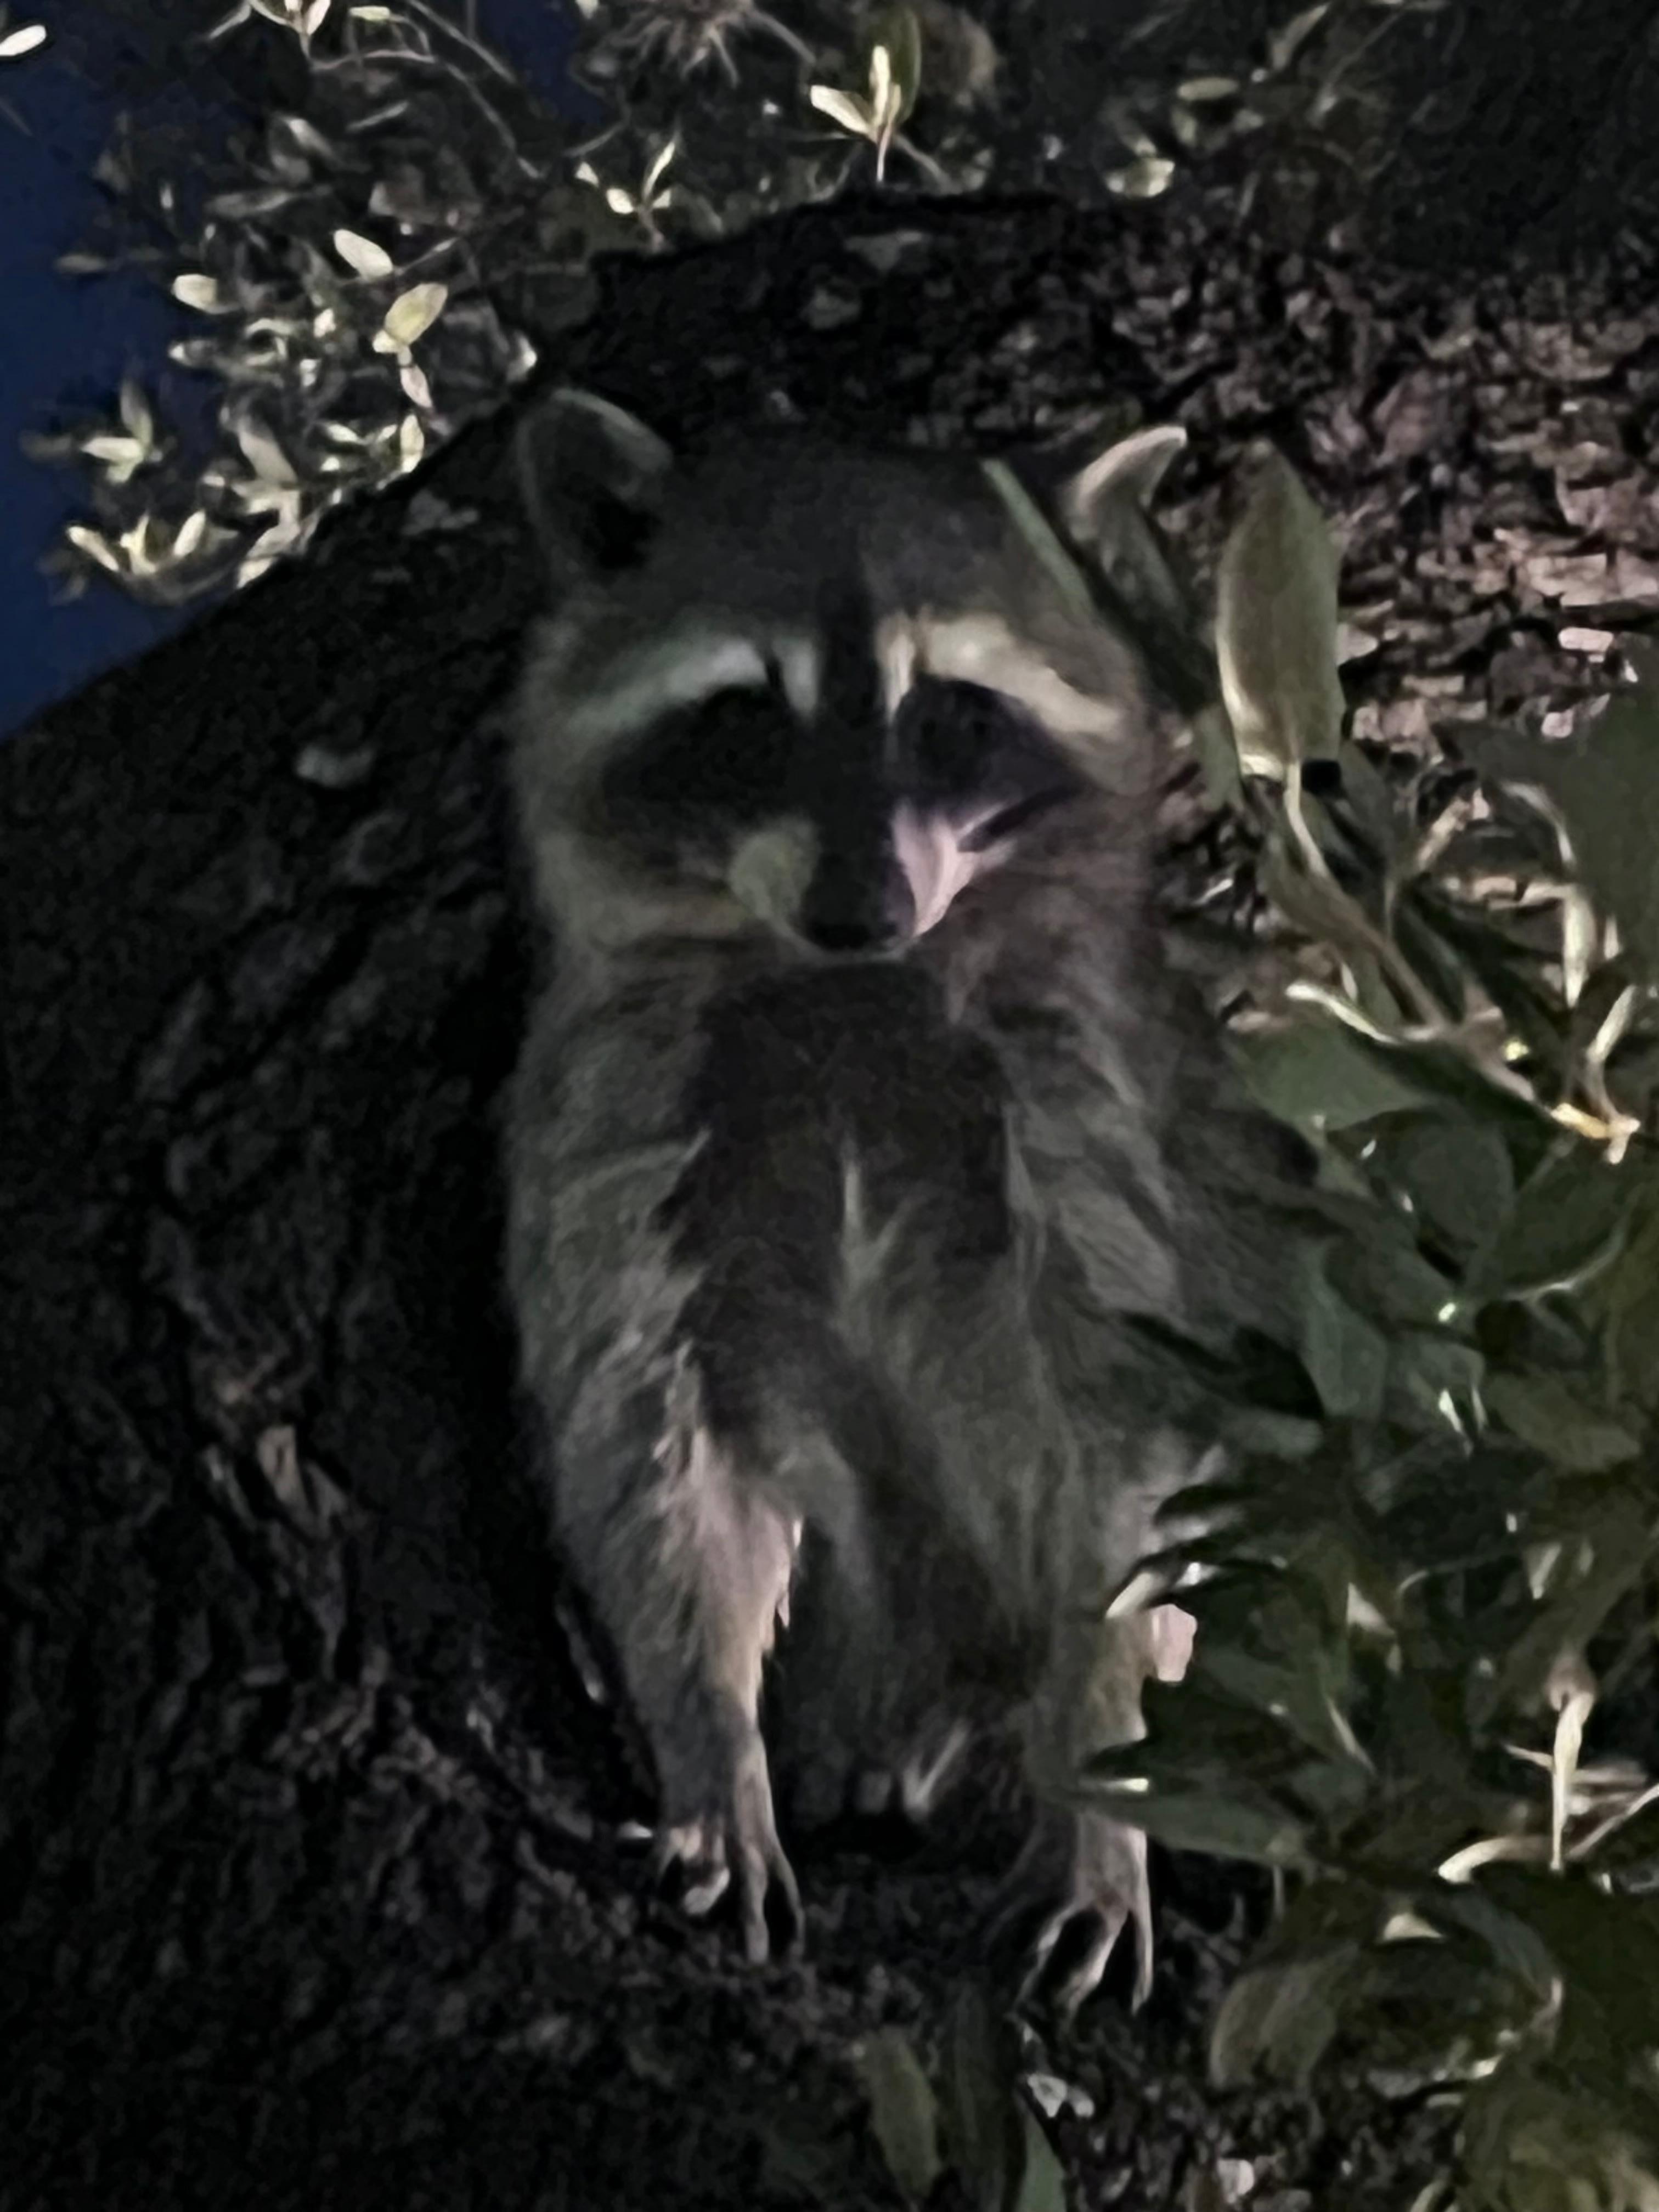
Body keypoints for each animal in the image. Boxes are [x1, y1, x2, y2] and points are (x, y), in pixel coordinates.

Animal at [503, 389, 1287, 2010]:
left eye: (952, 714)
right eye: (749, 716)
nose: (859, 910)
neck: (848, 993)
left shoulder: (1086, 1099)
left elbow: (1125, 1441)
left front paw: (1103, 1789)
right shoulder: (620, 1114)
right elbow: (653, 1445)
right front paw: (709, 1743)